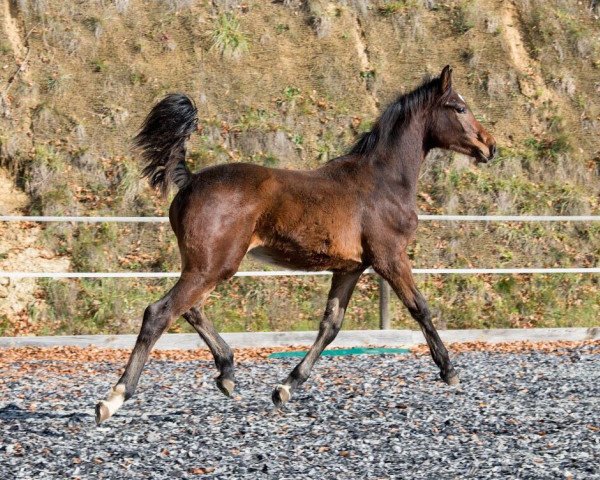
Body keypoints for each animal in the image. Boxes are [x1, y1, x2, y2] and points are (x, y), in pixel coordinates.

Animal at [96, 66, 494, 424]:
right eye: (459, 107)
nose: (489, 146)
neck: (384, 182)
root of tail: (190, 180)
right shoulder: (390, 258)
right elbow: (420, 308)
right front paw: (449, 370)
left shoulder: (350, 268)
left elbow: (331, 325)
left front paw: (285, 387)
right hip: (213, 266)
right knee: (160, 312)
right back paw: (114, 398)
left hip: (206, 265)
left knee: (190, 310)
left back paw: (227, 373)